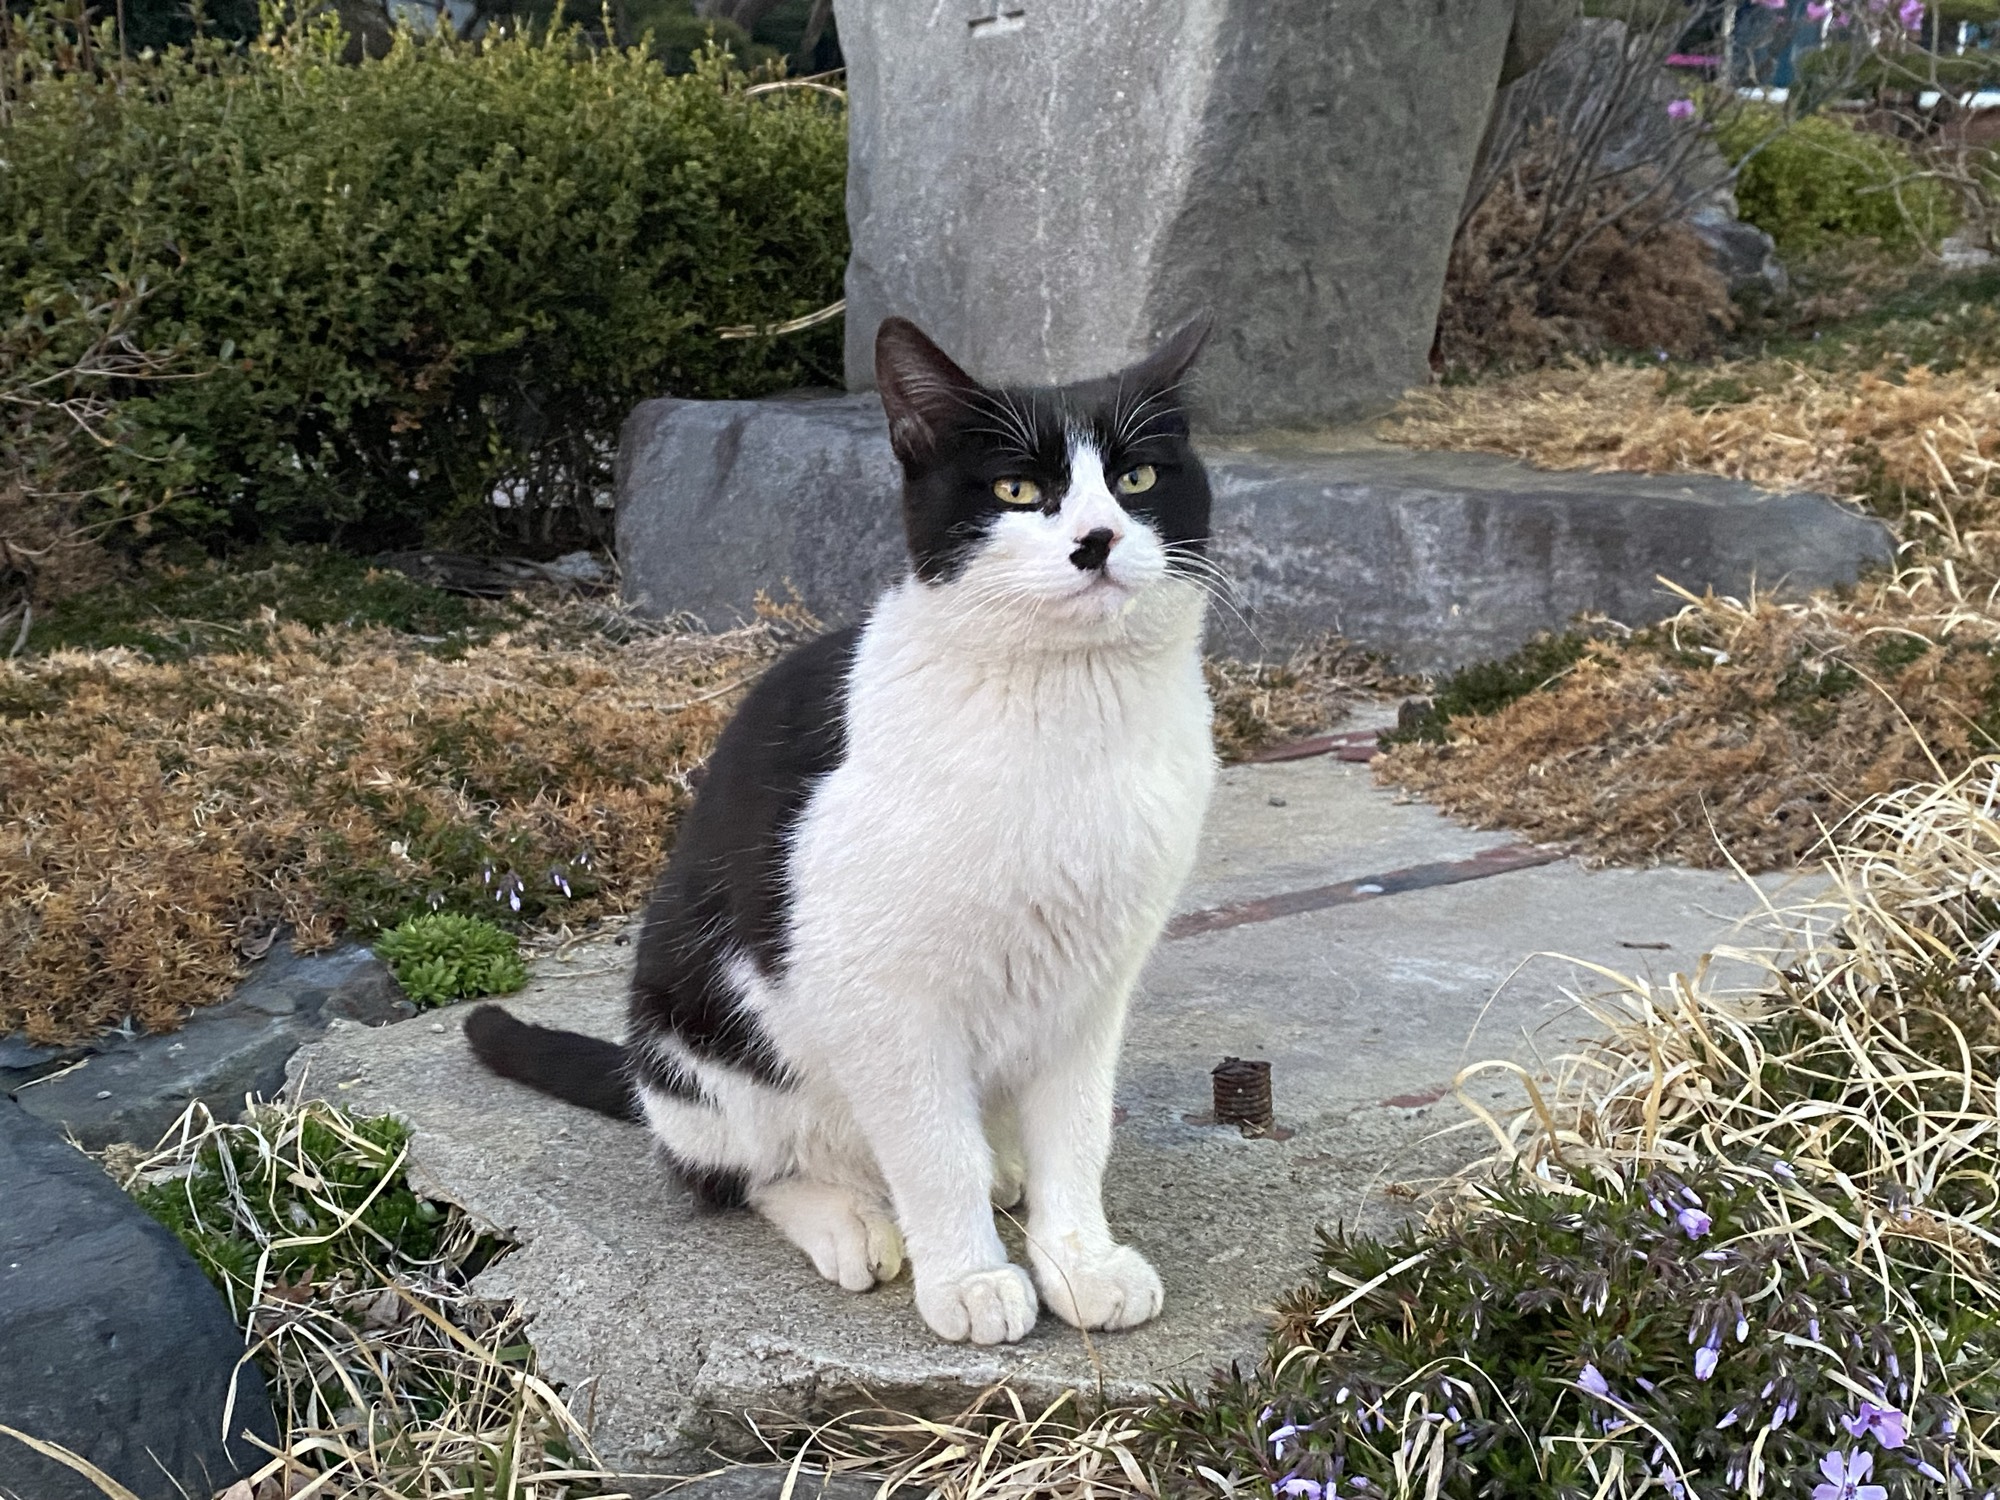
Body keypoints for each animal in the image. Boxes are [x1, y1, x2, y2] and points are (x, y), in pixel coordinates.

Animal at [467, 314, 1218, 1345]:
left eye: (1138, 477)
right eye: (1018, 490)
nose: (1098, 538)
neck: (1063, 709)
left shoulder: (1092, 982)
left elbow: (1077, 1132)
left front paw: (1081, 1261)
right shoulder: (875, 985)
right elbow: (932, 1153)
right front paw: (969, 1280)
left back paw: (1001, 1172)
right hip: (702, 1039)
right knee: (742, 1171)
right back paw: (852, 1219)